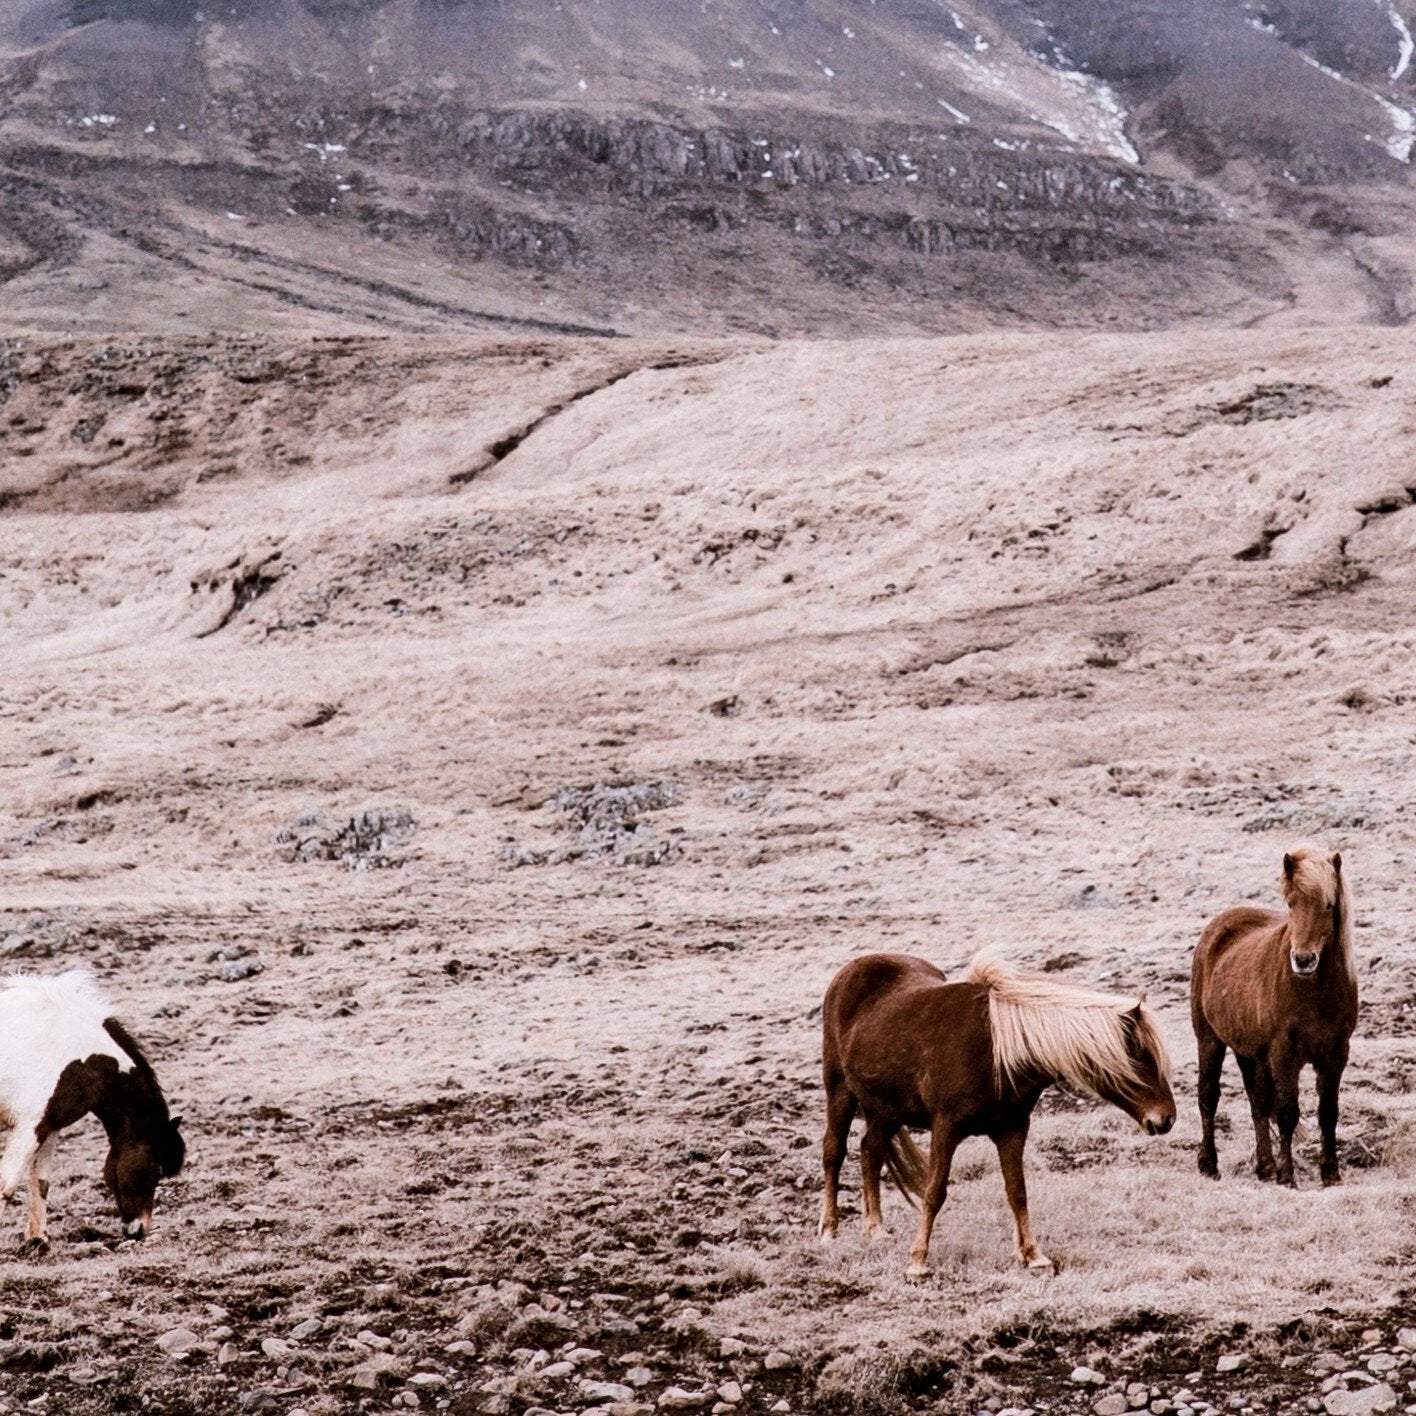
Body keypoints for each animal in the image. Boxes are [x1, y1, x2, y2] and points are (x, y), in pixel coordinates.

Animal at [0, 971, 185, 1246]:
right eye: (155, 1169)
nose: (140, 1230)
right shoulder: (29, 1126)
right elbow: (7, 1183)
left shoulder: (49, 1126)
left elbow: (40, 1181)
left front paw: (39, 1240)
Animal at [818, 950, 1174, 1276]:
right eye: (1140, 1058)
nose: (1166, 1119)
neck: (997, 1053)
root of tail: (853, 969)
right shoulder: (945, 1128)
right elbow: (934, 1192)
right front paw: (918, 1261)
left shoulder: (1012, 1129)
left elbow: (1017, 1192)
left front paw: (1033, 1255)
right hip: (840, 1091)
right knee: (834, 1153)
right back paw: (828, 1230)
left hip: (887, 1110)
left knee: (870, 1151)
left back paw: (875, 1229)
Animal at [1191, 845, 1357, 1188]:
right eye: (1291, 903)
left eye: (1328, 905)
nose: (1303, 960)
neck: (1315, 992)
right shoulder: (1284, 1054)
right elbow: (1287, 1113)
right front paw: (1287, 1175)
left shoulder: (1336, 1054)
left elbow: (1328, 1113)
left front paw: (1330, 1173)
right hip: (1209, 1040)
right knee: (1208, 1097)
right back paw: (1210, 1165)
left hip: (1250, 1053)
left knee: (1257, 1101)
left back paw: (1265, 1166)